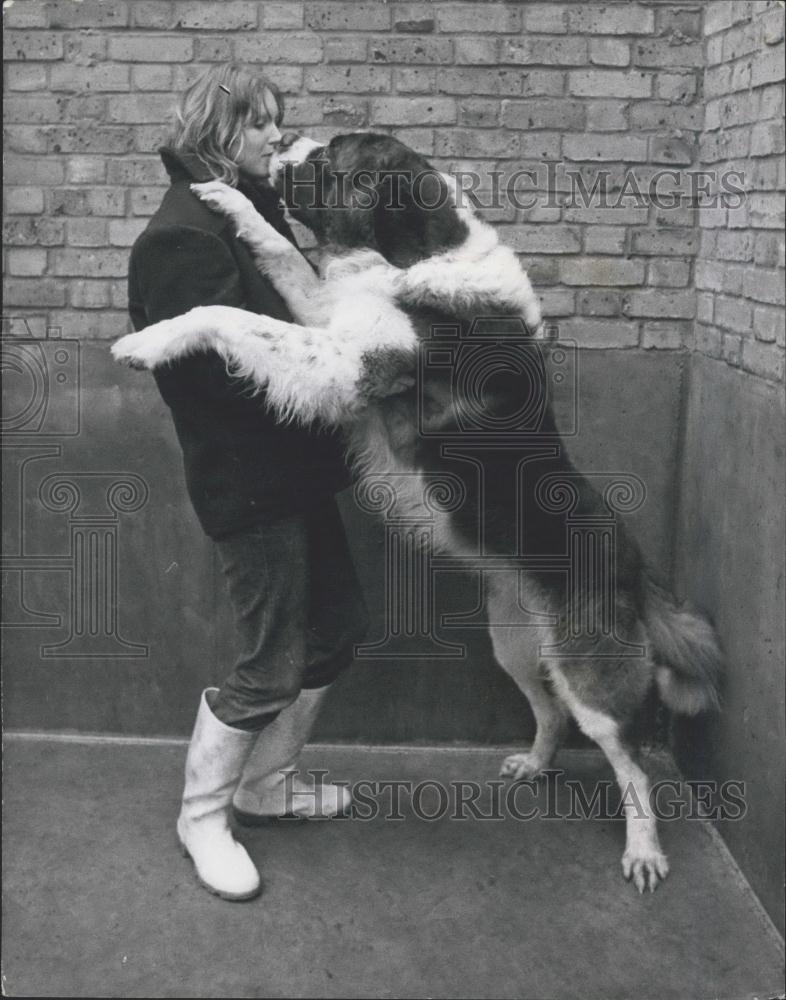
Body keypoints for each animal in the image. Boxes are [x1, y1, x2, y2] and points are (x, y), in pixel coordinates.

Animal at [113, 131, 720, 892]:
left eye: (330, 159)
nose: (286, 143)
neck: (413, 252)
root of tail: (637, 562)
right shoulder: (332, 318)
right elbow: (283, 258)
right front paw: (229, 202)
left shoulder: (349, 364)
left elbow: (230, 316)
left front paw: (147, 341)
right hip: (515, 640)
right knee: (550, 711)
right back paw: (536, 763)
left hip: (591, 669)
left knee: (629, 760)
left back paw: (644, 851)